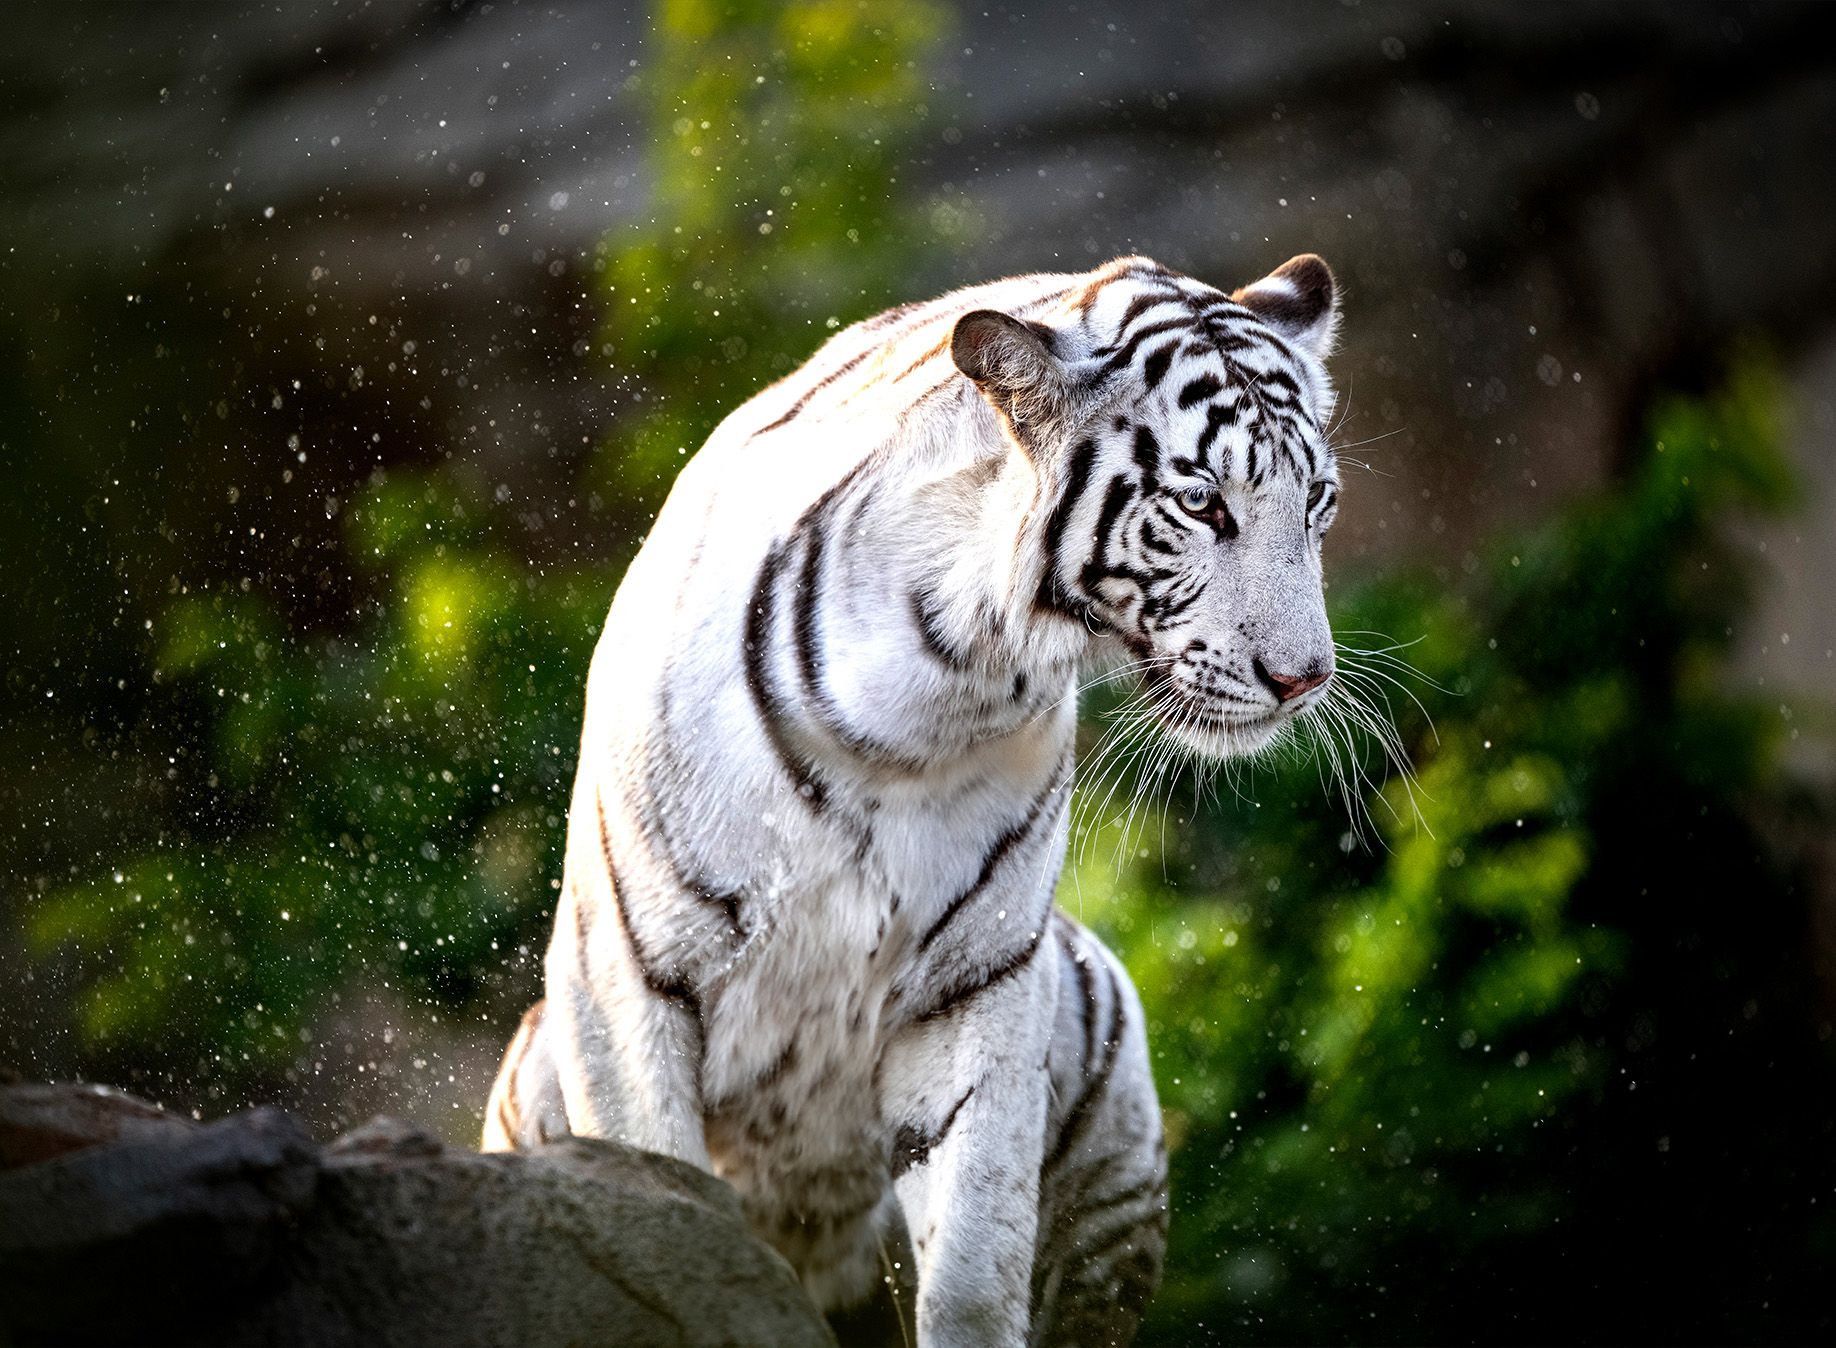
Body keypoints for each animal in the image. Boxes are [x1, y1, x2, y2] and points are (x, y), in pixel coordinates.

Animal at [482, 251, 1344, 1348]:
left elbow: (975, 1256)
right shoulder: (629, 967)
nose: (1304, 679)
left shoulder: (979, 980)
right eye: (1202, 505)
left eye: (1318, 504)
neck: (937, 684)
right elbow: (669, 1211)